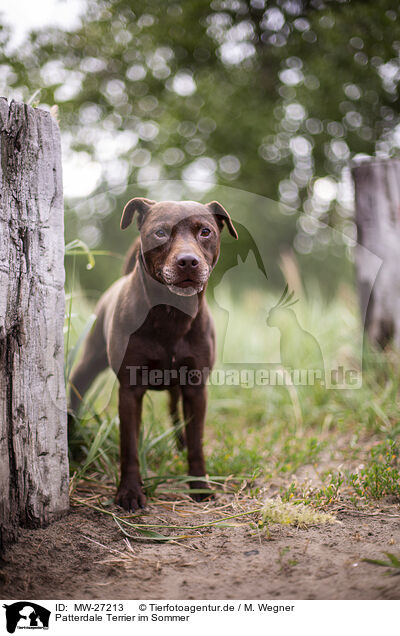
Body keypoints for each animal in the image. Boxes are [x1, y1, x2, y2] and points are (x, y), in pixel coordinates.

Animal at [69, 199, 238, 512]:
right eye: (160, 232)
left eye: (205, 231)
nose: (188, 261)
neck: (171, 314)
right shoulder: (129, 390)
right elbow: (129, 446)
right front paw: (130, 492)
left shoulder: (196, 387)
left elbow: (197, 442)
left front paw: (199, 485)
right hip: (87, 364)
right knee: (76, 395)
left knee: (176, 413)